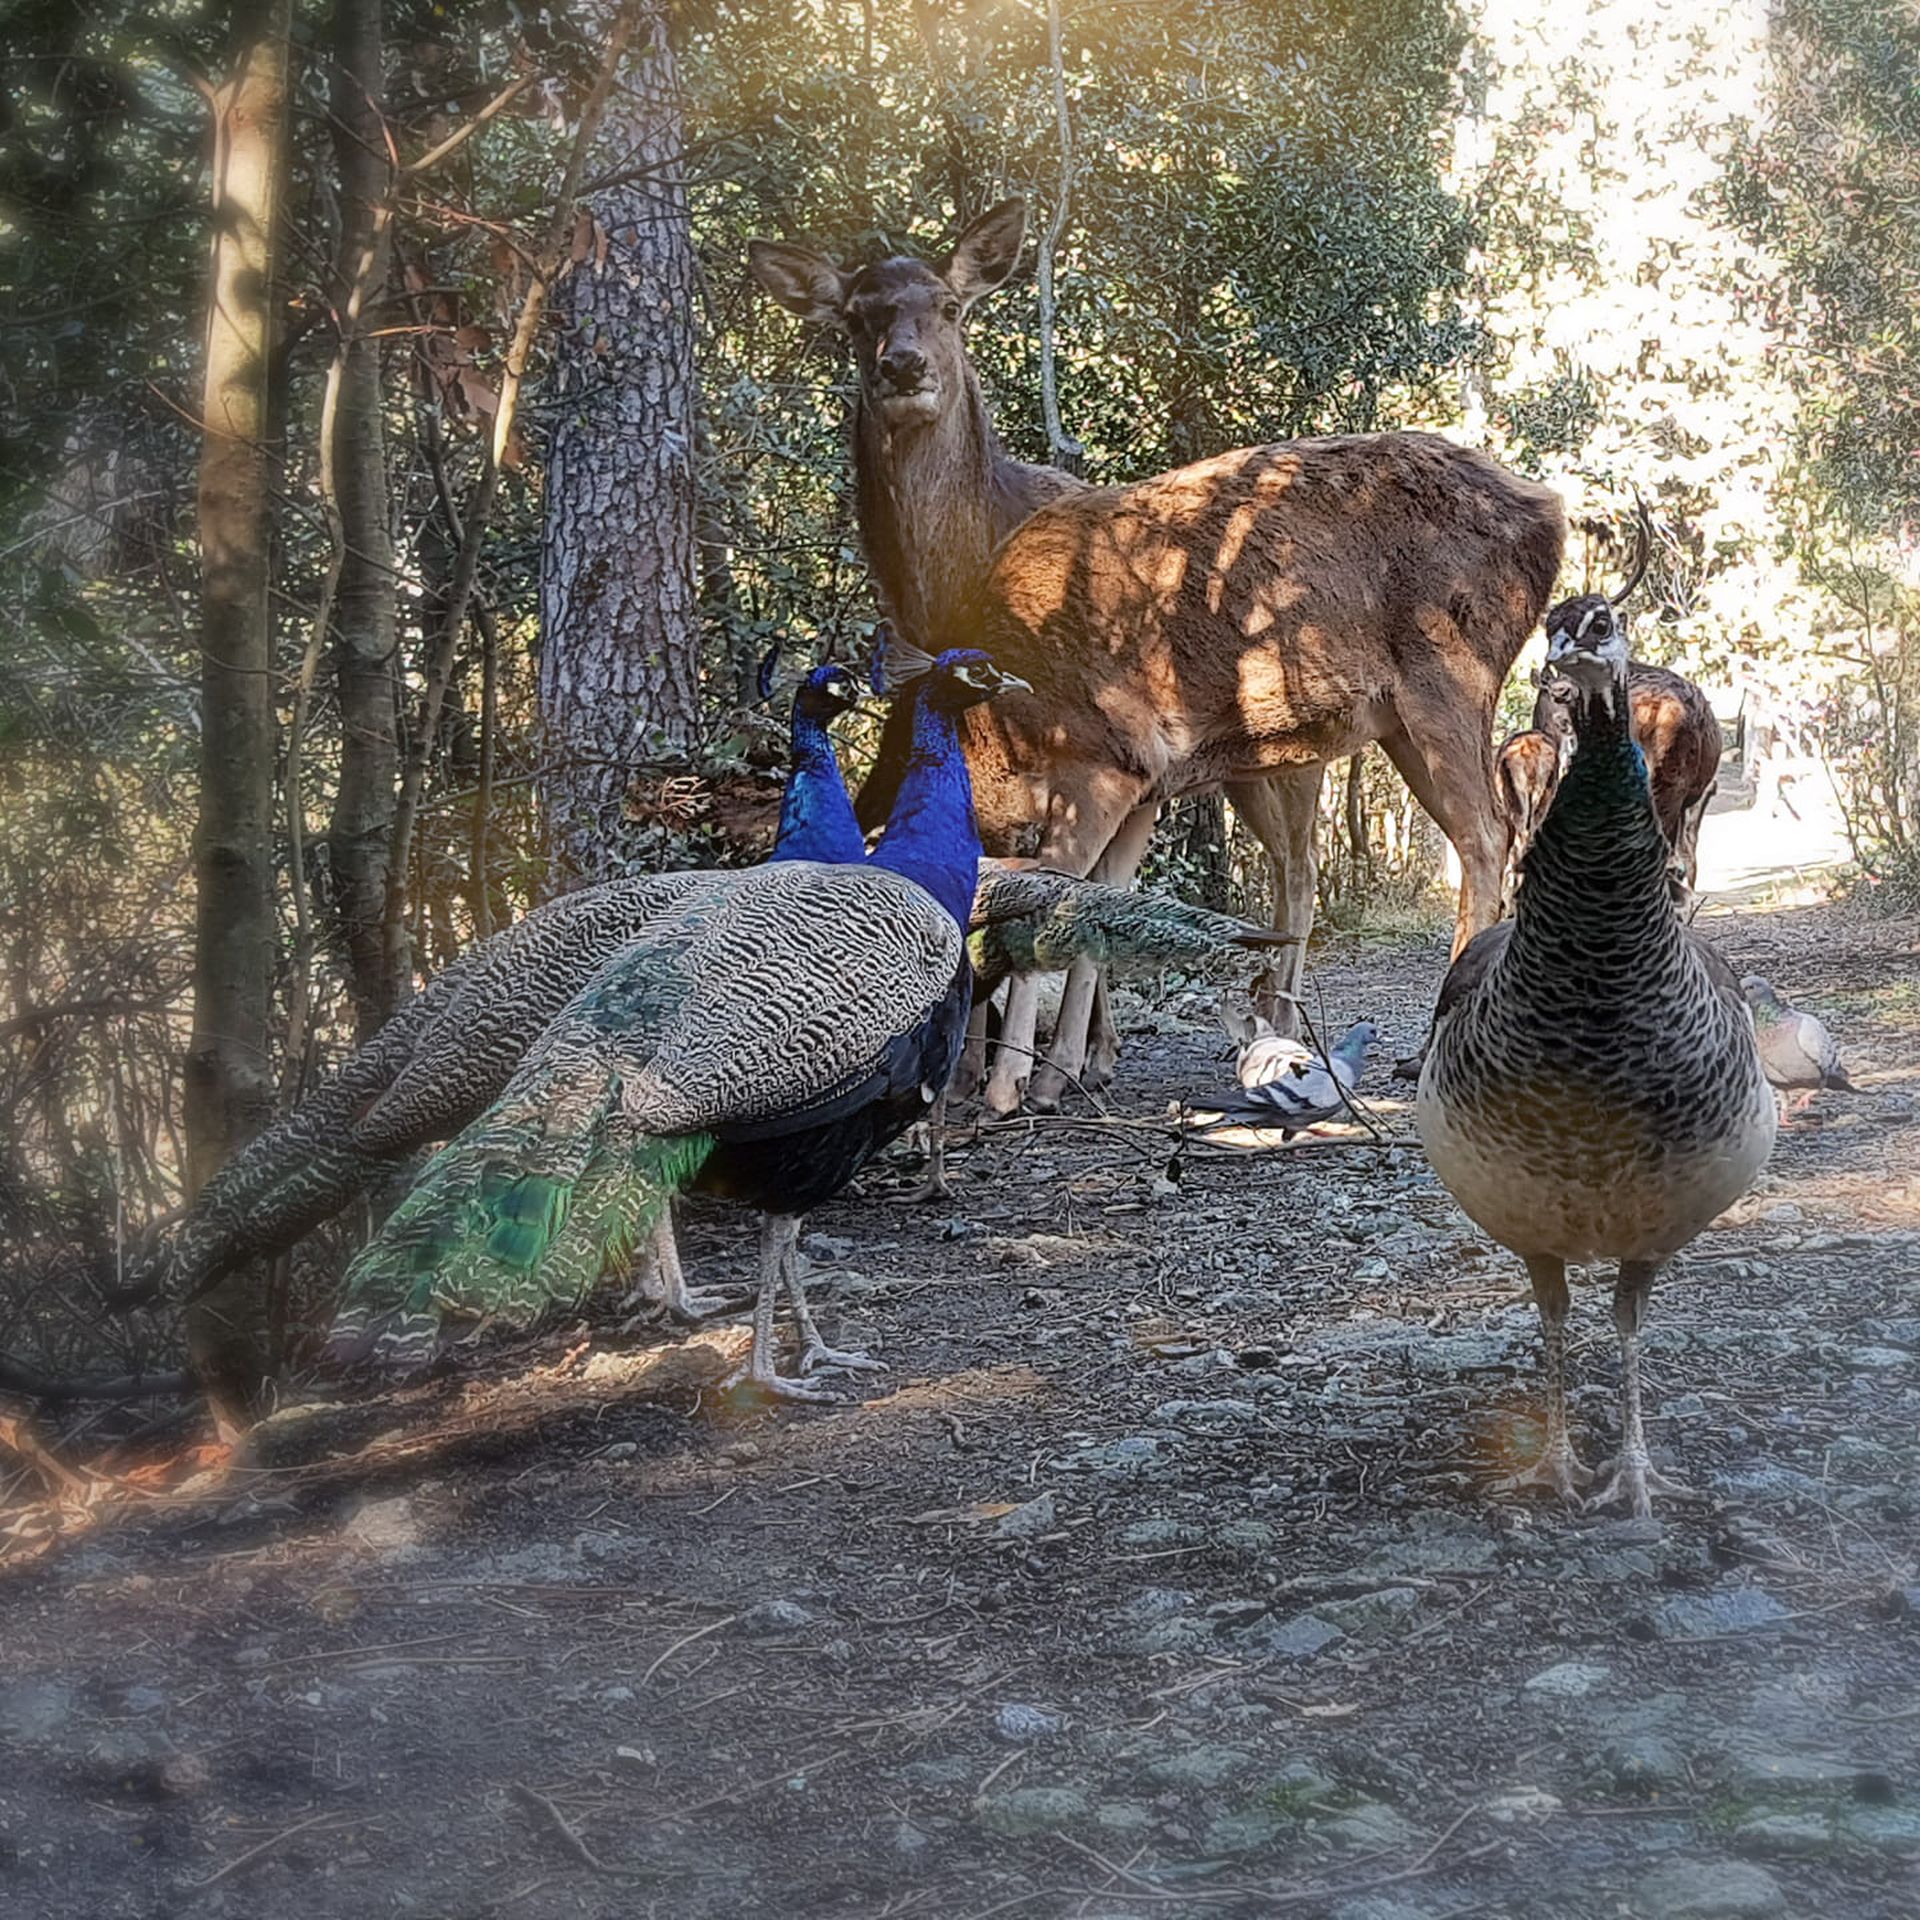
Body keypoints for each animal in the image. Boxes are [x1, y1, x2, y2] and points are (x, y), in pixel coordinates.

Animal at [741, 198, 1566, 1113]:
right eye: (857, 317)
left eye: (950, 307)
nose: (903, 364)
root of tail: (1552, 513)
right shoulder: (1142, 776)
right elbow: (1095, 890)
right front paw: (1039, 1063)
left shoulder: (1115, 761)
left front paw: (1027, 1073)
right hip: (1350, 730)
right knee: (1321, 869)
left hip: (1446, 675)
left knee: (1476, 838)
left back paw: (1422, 1048)